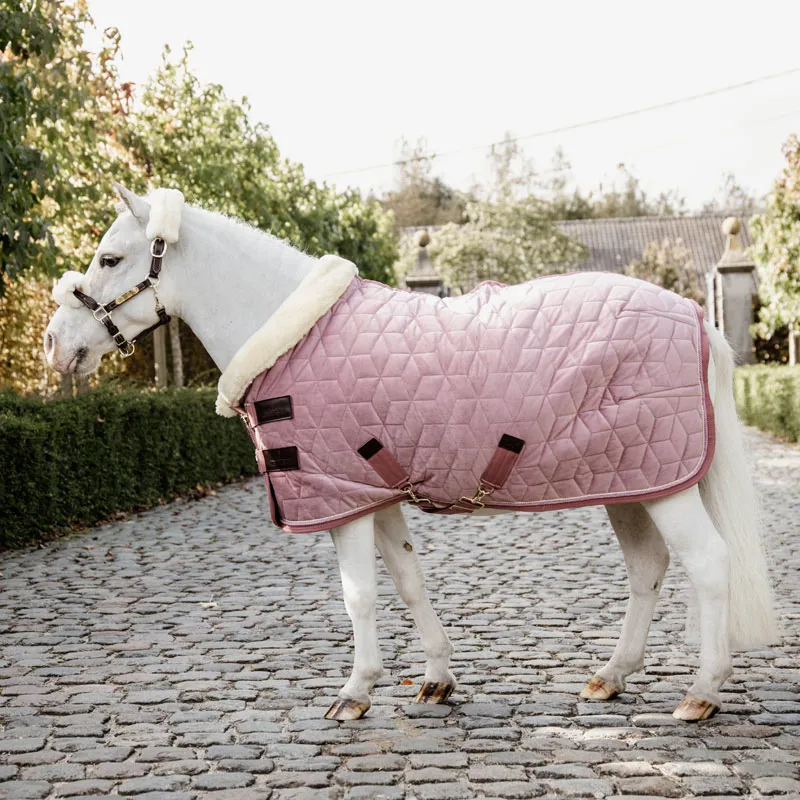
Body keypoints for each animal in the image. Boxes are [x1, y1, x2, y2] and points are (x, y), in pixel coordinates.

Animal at [44, 184, 779, 723]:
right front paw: (436, 679)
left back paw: (702, 693)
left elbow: (359, 595)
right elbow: (407, 580)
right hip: (630, 479)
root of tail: (695, 316)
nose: (55, 343)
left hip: (667, 485)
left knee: (709, 565)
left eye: (110, 259)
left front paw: (354, 692)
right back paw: (610, 677)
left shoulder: (340, 498)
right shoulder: (376, 495)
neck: (298, 335)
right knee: (648, 569)